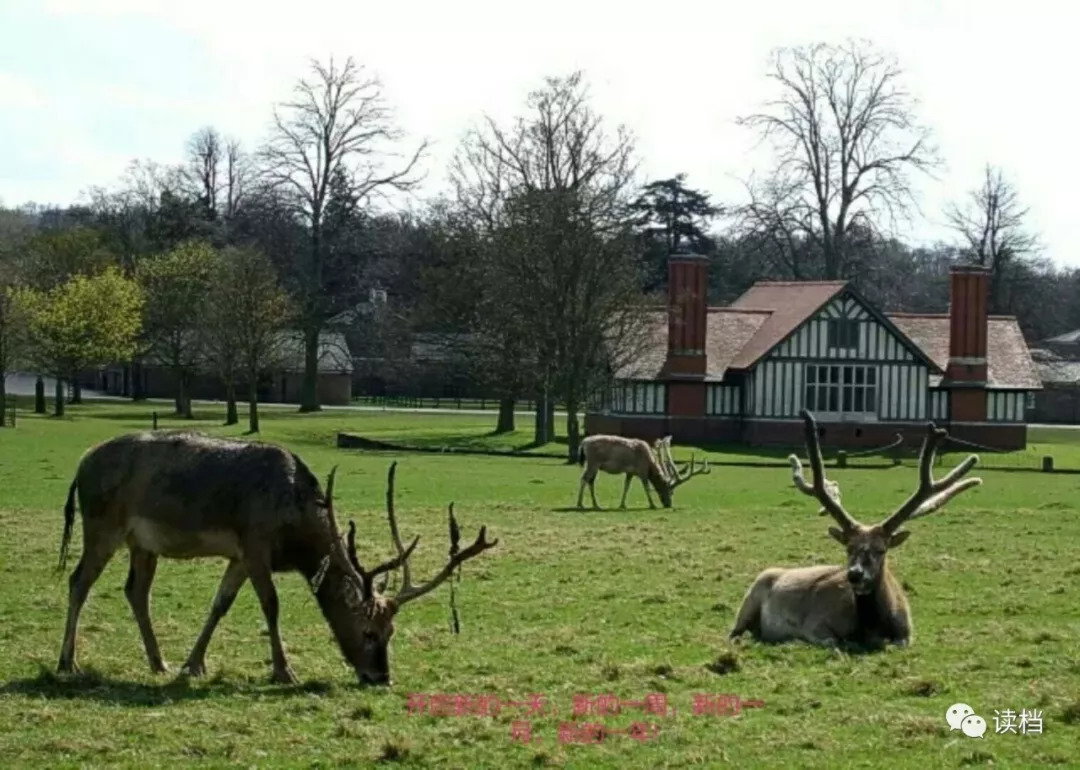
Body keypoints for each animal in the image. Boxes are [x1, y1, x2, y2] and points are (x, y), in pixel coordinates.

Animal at [54, 431, 496, 686]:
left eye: (392, 633)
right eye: (368, 632)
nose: (380, 677)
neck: (294, 532)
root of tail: (80, 465)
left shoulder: (238, 555)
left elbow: (220, 603)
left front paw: (192, 665)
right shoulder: (254, 543)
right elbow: (271, 604)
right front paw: (285, 671)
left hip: (142, 543)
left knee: (136, 591)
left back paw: (158, 662)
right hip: (101, 525)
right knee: (78, 581)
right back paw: (66, 662)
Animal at [574, 431, 708, 509]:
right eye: (671, 492)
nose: (668, 505)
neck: (649, 464)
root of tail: (583, 443)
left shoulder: (630, 472)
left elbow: (626, 486)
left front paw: (622, 504)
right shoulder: (642, 470)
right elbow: (646, 487)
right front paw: (652, 504)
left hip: (594, 465)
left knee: (590, 481)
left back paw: (595, 504)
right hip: (593, 462)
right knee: (584, 479)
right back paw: (580, 504)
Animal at [730, 408, 984, 647]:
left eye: (882, 549)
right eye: (848, 547)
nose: (855, 574)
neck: (871, 630)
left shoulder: (908, 633)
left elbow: (899, 642)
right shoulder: (814, 623)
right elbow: (834, 641)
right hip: (749, 599)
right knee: (734, 632)